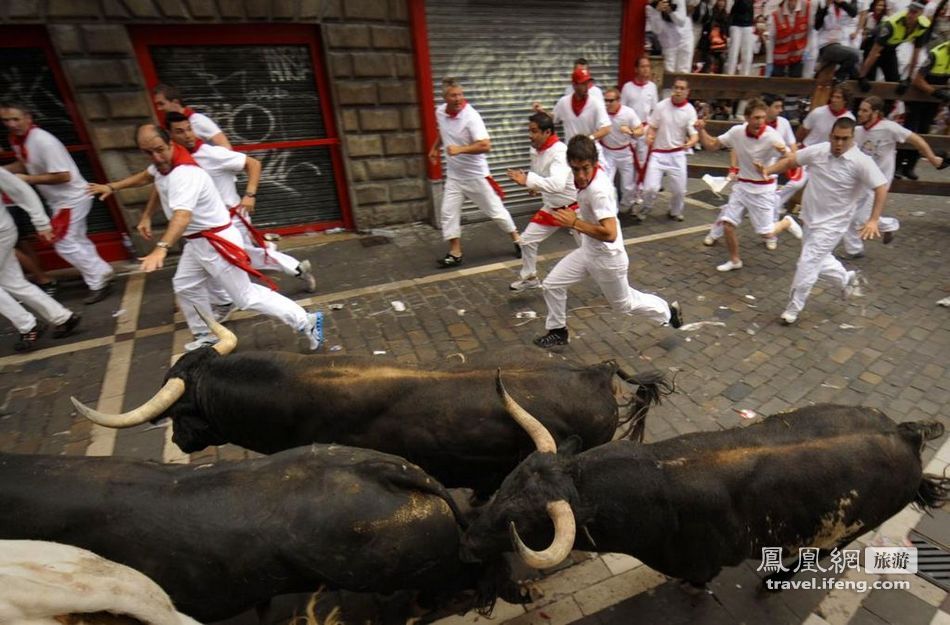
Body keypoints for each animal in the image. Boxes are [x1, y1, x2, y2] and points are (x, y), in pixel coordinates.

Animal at [460, 402, 944, 584]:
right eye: (505, 486)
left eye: (526, 523)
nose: (467, 542)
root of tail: (905, 433)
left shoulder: (700, 567)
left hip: (850, 529)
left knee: (824, 552)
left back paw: (776, 579)